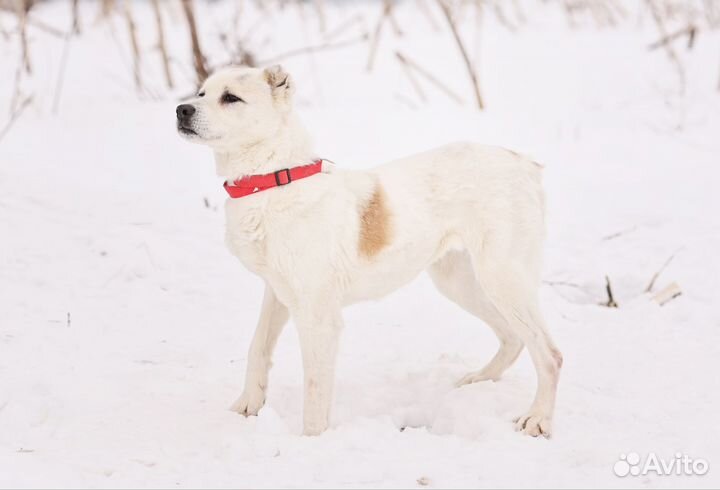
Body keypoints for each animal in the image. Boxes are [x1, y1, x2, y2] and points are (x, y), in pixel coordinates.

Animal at [176, 64, 564, 436]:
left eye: (231, 97)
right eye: (201, 93)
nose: (181, 109)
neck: (273, 179)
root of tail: (522, 162)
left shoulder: (319, 317)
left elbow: (315, 391)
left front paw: (311, 443)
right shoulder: (277, 293)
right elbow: (257, 347)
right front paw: (248, 404)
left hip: (501, 277)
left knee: (550, 354)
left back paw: (537, 419)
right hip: (460, 281)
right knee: (513, 338)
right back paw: (479, 381)